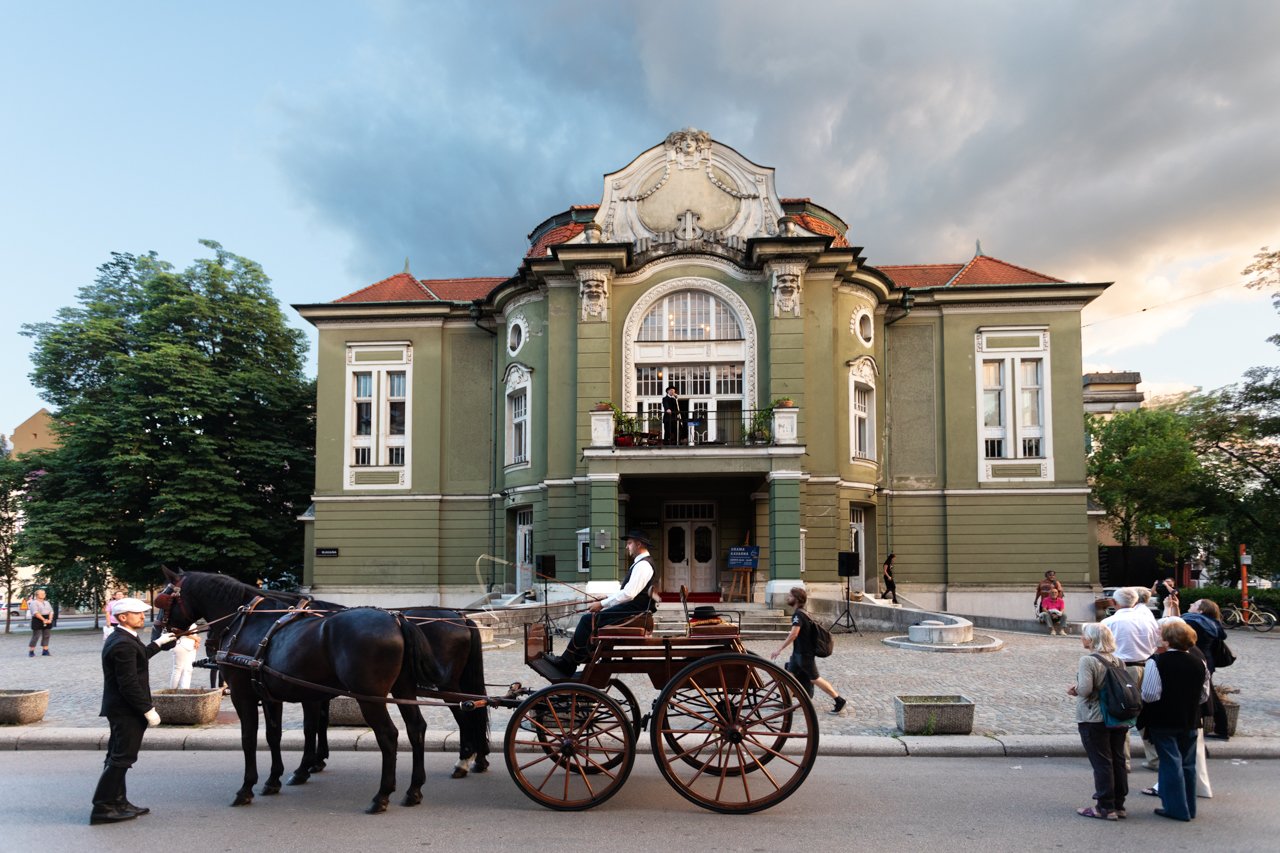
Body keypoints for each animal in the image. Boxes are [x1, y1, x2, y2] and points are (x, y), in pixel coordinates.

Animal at [161, 563, 440, 809]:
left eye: (163, 600)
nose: (159, 633)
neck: (247, 622)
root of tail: (397, 620)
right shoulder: (271, 695)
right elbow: (275, 735)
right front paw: (274, 779)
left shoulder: (243, 694)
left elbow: (250, 738)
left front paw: (246, 788)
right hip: (403, 689)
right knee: (416, 729)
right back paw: (414, 790)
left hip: (369, 697)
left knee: (388, 735)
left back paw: (382, 795)